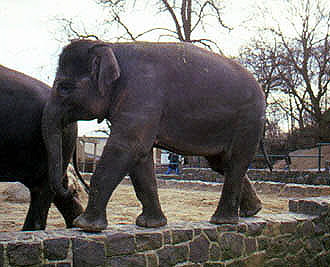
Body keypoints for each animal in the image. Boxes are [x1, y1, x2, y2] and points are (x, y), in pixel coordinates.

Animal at [43, 39, 266, 232]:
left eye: (64, 87)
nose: (72, 189)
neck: (112, 47)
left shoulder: (141, 94)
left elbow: (127, 148)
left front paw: (85, 226)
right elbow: (140, 158)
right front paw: (150, 225)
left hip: (248, 119)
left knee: (235, 161)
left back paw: (222, 221)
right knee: (222, 163)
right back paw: (252, 211)